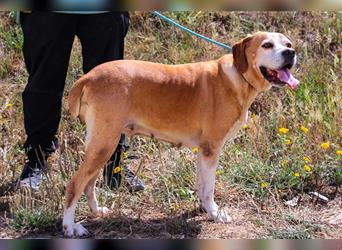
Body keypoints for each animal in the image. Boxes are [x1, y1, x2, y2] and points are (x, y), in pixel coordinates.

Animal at [62, 31, 298, 236]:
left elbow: (202, 184)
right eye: (267, 45)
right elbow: (210, 187)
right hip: (105, 144)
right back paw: (70, 227)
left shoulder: (203, 151)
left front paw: (204, 209)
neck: (239, 77)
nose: (290, 53)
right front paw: (215, 213)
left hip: (102, 144)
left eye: (288, 44)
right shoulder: (212, 148)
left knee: (89, 183)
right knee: (75, 184)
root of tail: (89, 76)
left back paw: (97, 211)